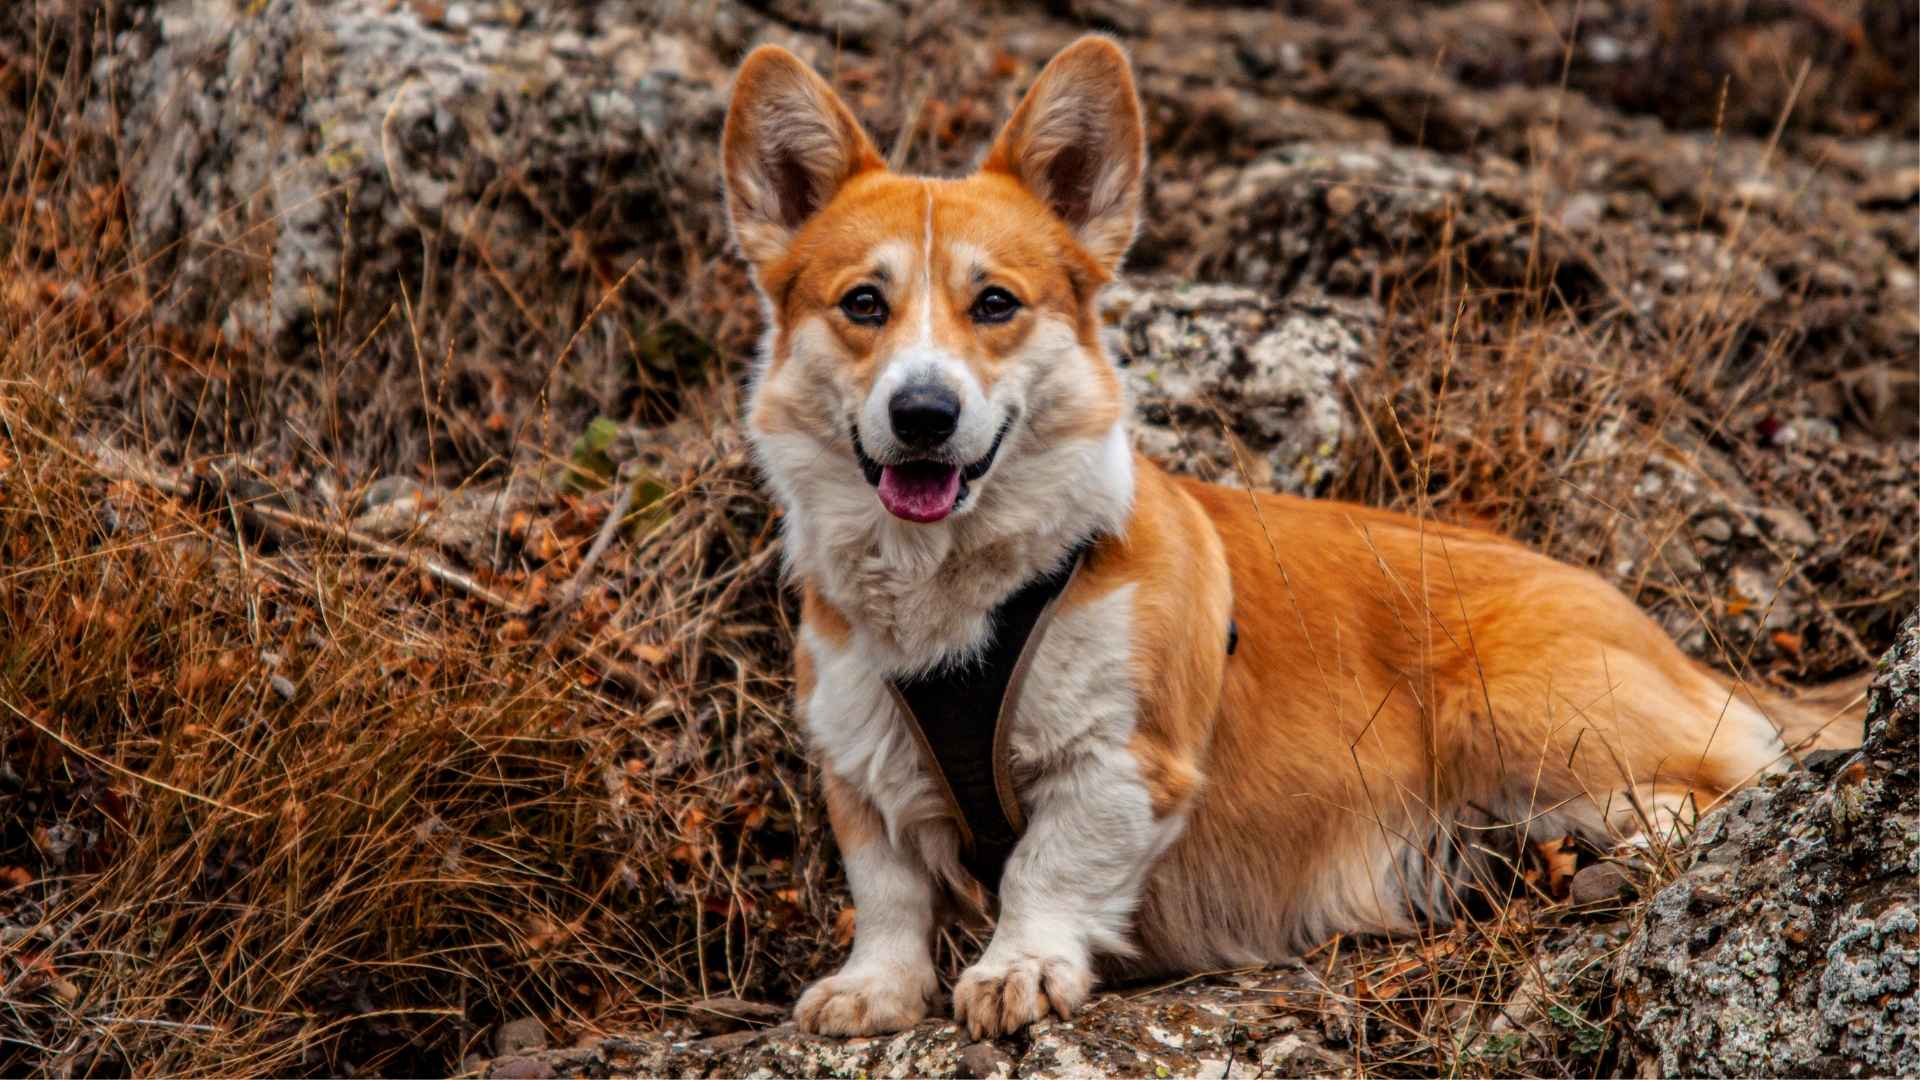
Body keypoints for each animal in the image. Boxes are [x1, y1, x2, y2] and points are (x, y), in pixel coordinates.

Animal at [718, 37, 1858, 1037]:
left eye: (994, 302)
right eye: (864, 303)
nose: (923, 414)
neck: (955, 599)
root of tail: (1668, 640)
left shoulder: (1123, 762)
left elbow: (1047, 868)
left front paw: (1019, 968)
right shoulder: (862, 769)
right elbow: (890, 895)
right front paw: (872, 991)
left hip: (1523, 711)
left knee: (1736, 776)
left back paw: (1635, 830)